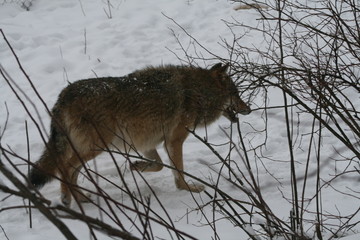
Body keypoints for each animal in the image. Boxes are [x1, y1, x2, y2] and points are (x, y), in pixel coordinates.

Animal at [28, 62, 250, 205]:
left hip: (89, 148)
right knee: (64, 167)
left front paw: (136, 167)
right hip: (96, 147)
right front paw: (187, 189)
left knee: (71, 171)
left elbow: (159, 165)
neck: (199, 91)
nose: (248, 109)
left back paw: (82, 199)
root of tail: (64, 95)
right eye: (236, 93)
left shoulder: (148, 143)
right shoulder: (174, 140)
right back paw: (67, 199)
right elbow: (177, 171)